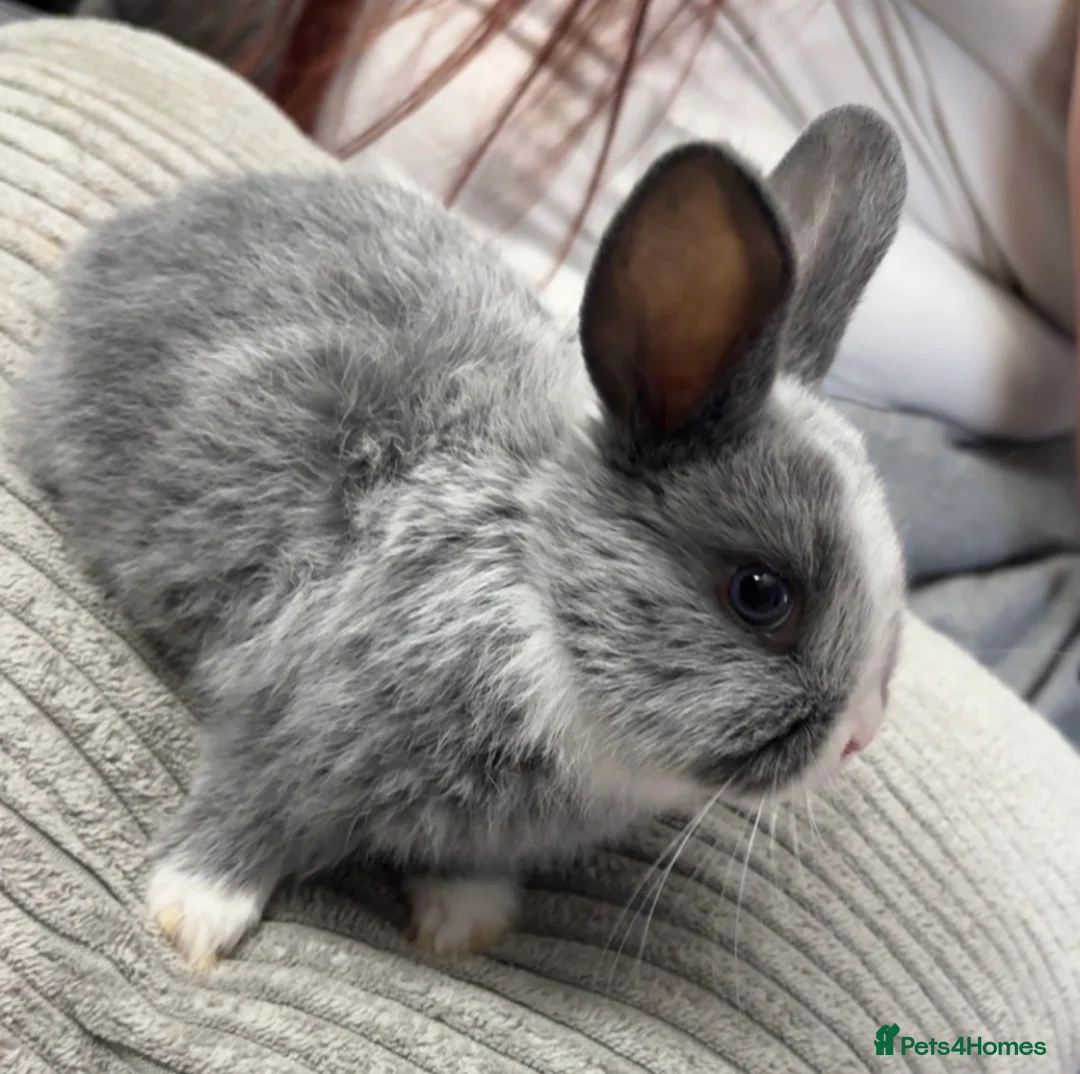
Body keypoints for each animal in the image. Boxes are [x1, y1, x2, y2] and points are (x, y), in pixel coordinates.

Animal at [9, 104, 908, 968]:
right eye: (761, 594)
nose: (859, 738)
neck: (535, 593)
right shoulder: (288, 720)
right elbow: (247, 810)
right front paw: (193, 917)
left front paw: (467, 924)